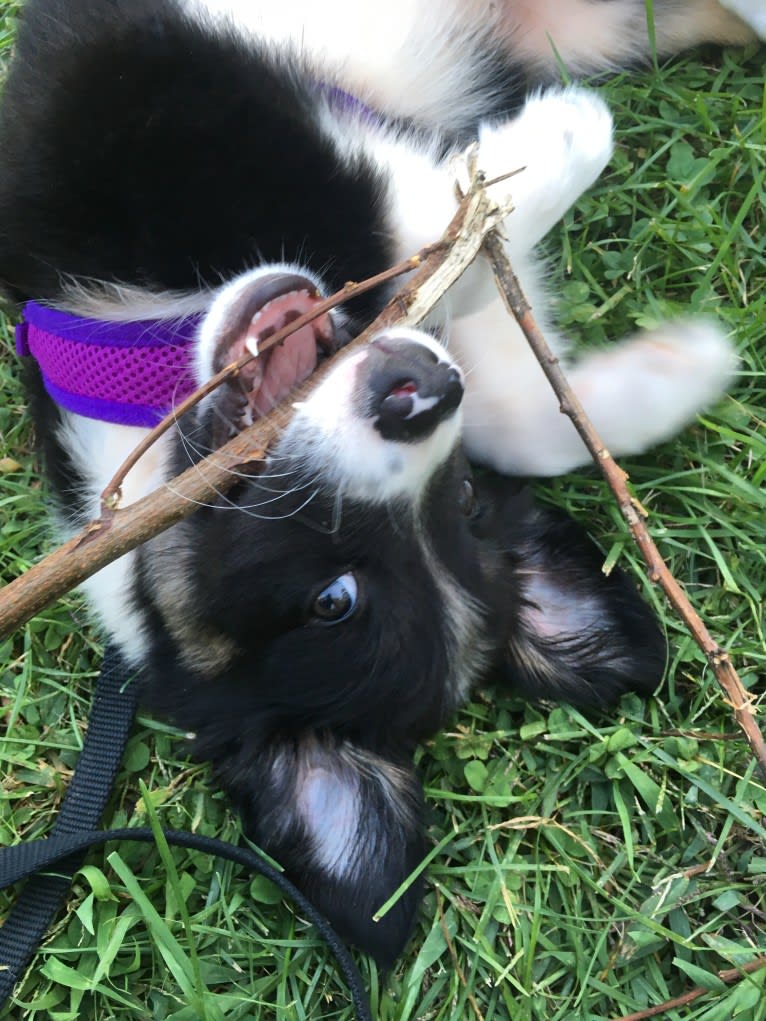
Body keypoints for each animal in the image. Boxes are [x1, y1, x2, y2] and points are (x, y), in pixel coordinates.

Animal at [0, 0, 759, 963]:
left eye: (465, 502)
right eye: (334, 598)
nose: (423, 394)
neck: (145, 358)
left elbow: (493, 371)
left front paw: (677, 370)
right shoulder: (122, 95)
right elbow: (391, 230)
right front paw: (557, 142)